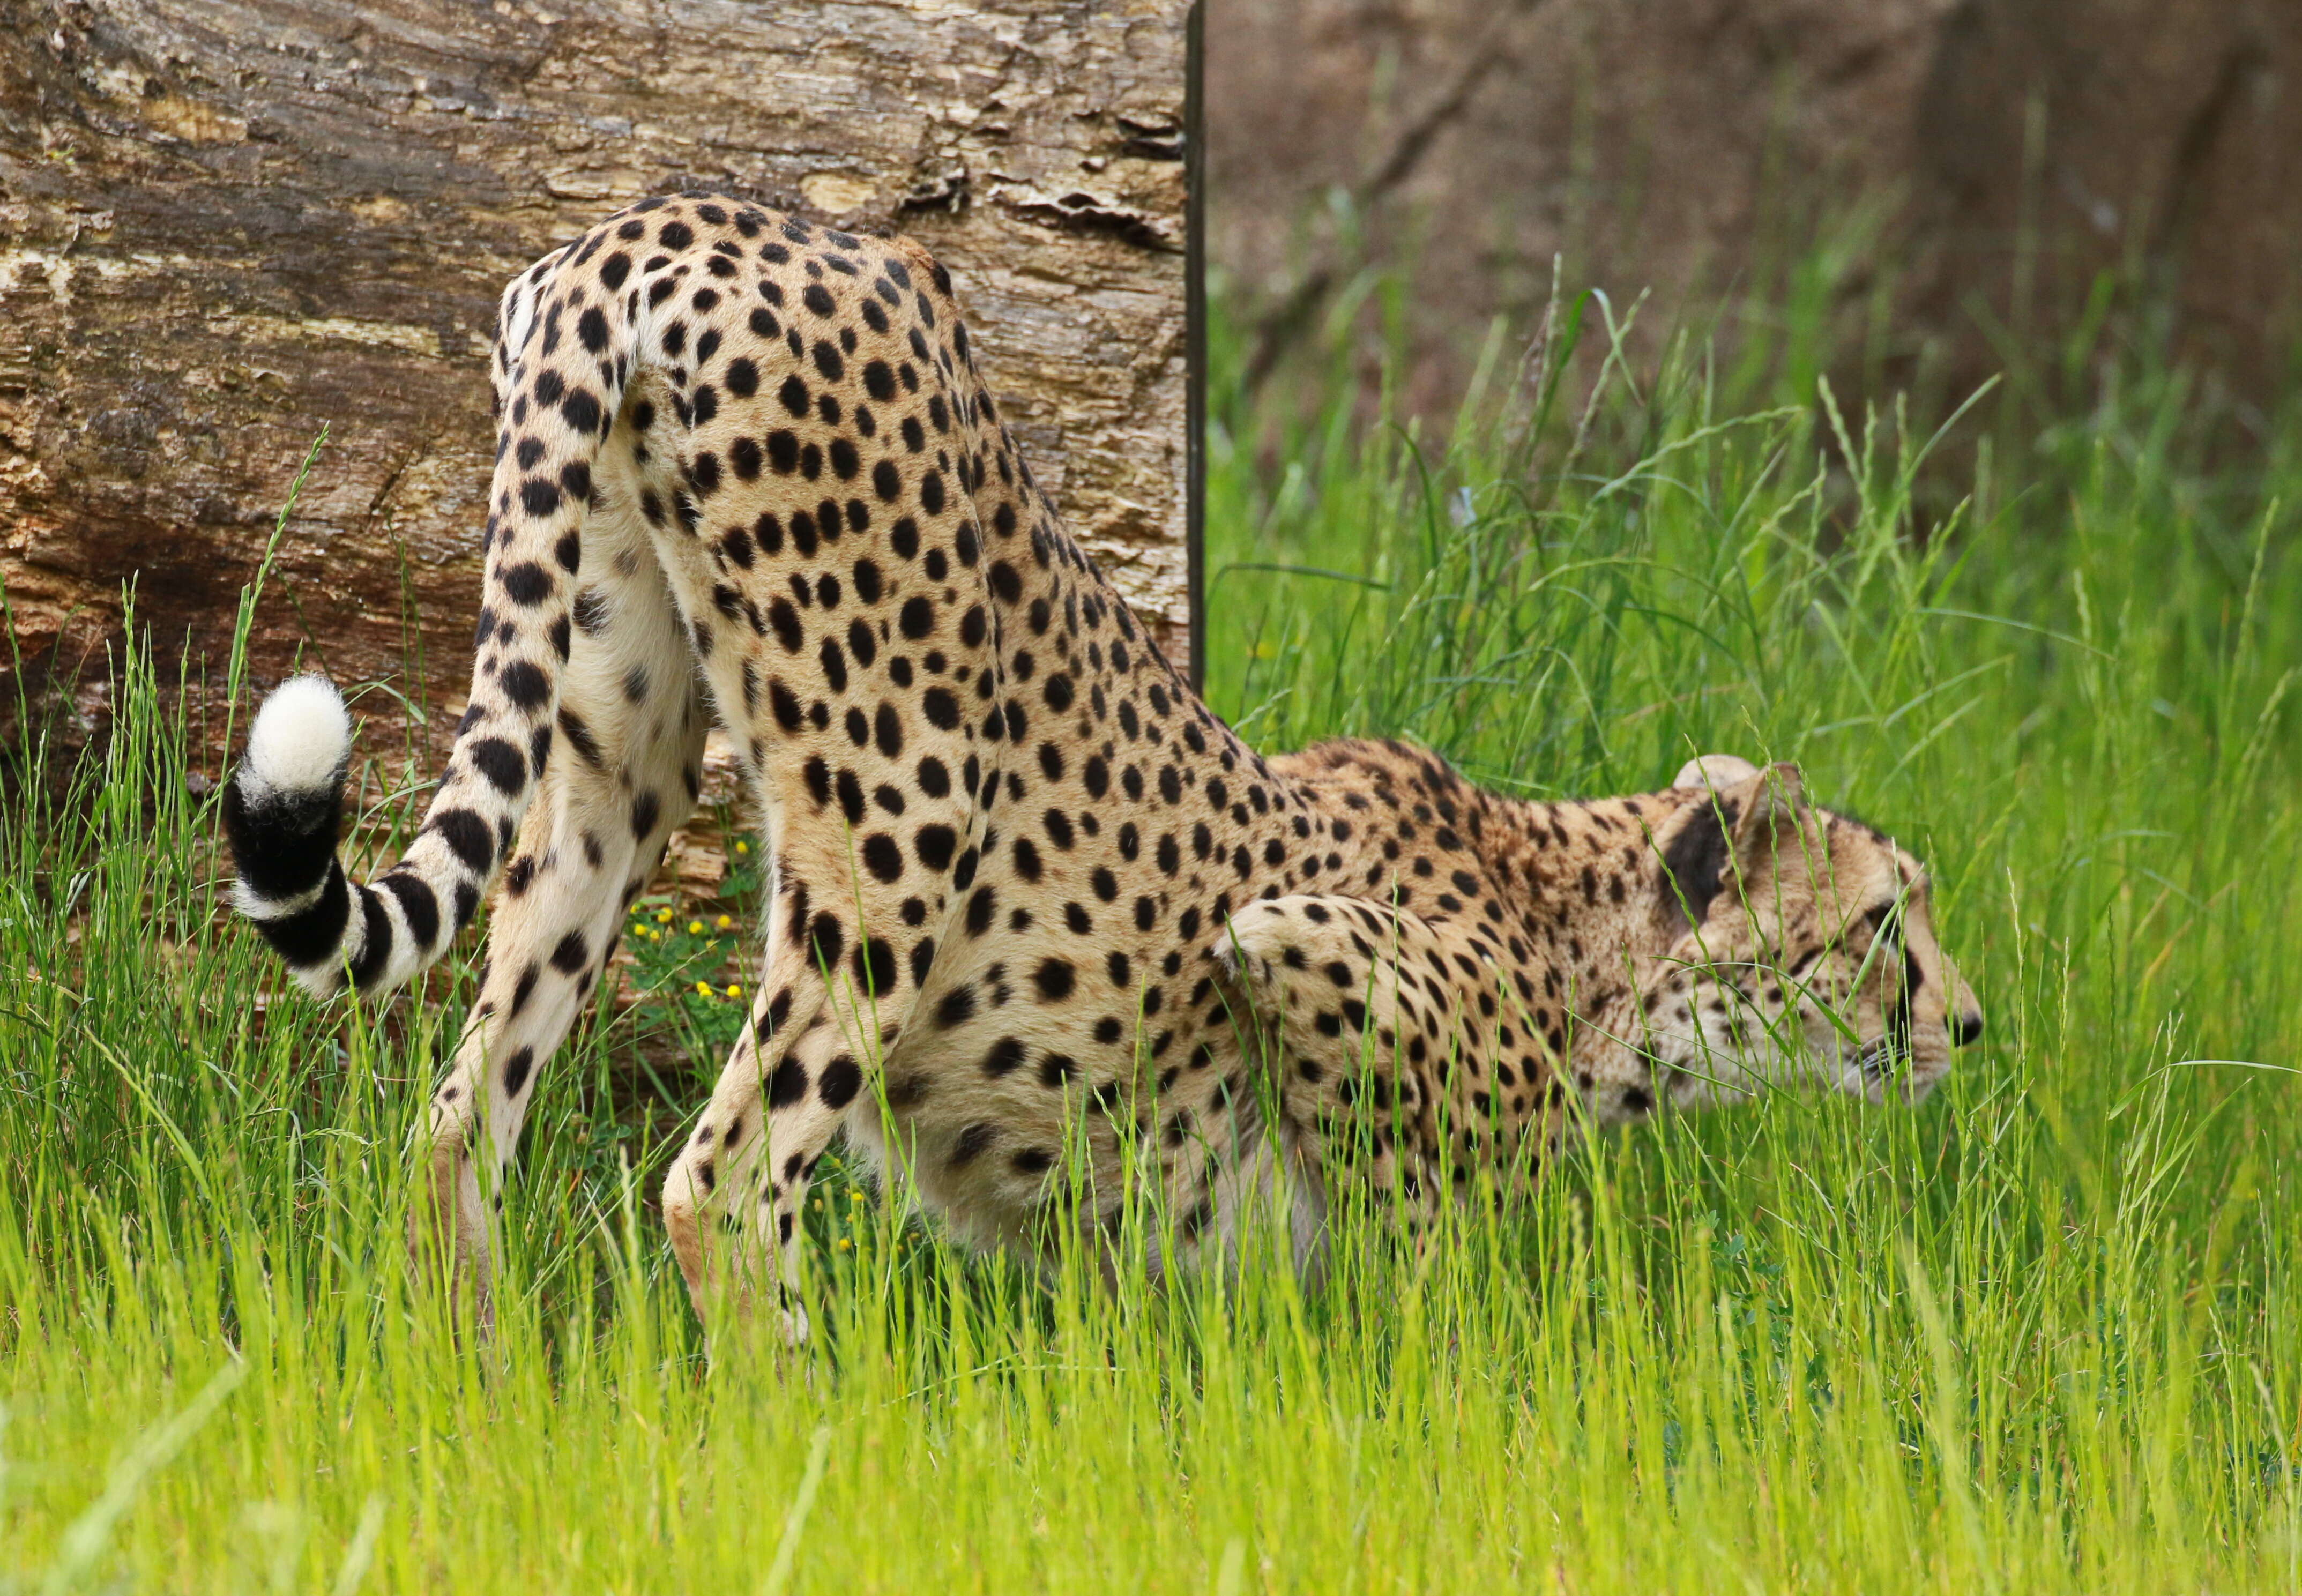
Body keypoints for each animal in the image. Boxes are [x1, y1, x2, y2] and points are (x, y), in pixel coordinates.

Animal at [224, 190, 1979, 1336]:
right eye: (1882, 920)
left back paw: (481, 1398)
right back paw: (815, 1445)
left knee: (458, 1121)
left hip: (612, 753)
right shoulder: (1299, 951)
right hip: (907, 794)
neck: (1592, 948)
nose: (1967, 1023)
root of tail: (664, 219)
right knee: (720, 1181)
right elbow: (1415, 1296)